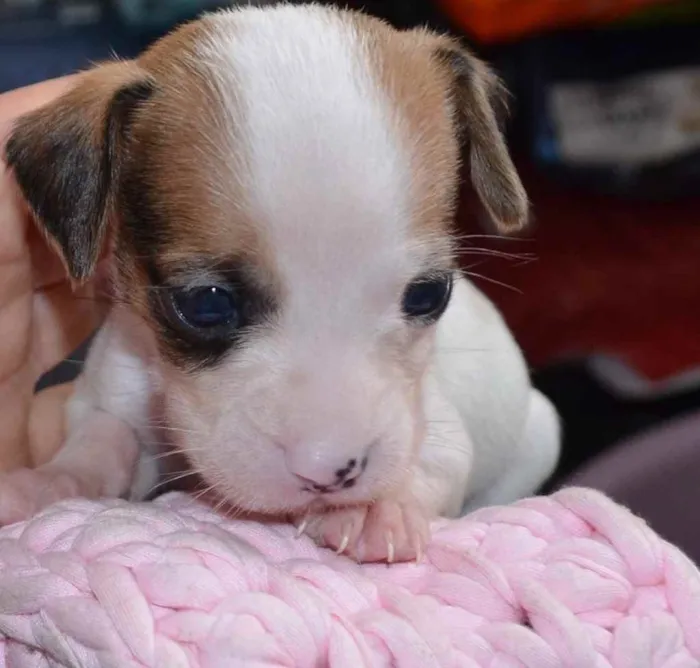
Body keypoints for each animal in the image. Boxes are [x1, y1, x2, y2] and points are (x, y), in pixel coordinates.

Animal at [0, 2, 560, 560]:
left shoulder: (437, 423)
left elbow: (435, 459)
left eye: (429, 294)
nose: (331, 473)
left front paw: (375, 504)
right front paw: (53, 481)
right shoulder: (111, 389)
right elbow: (101, 438)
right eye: (206, 305)